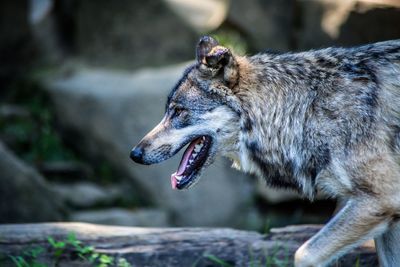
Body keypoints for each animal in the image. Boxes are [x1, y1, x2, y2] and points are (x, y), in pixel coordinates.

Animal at [130, 36, 400, 267]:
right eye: (168, 110)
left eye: (178, 111)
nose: (135, 154)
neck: (307, 109)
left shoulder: (379, 200)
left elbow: (304, 254)